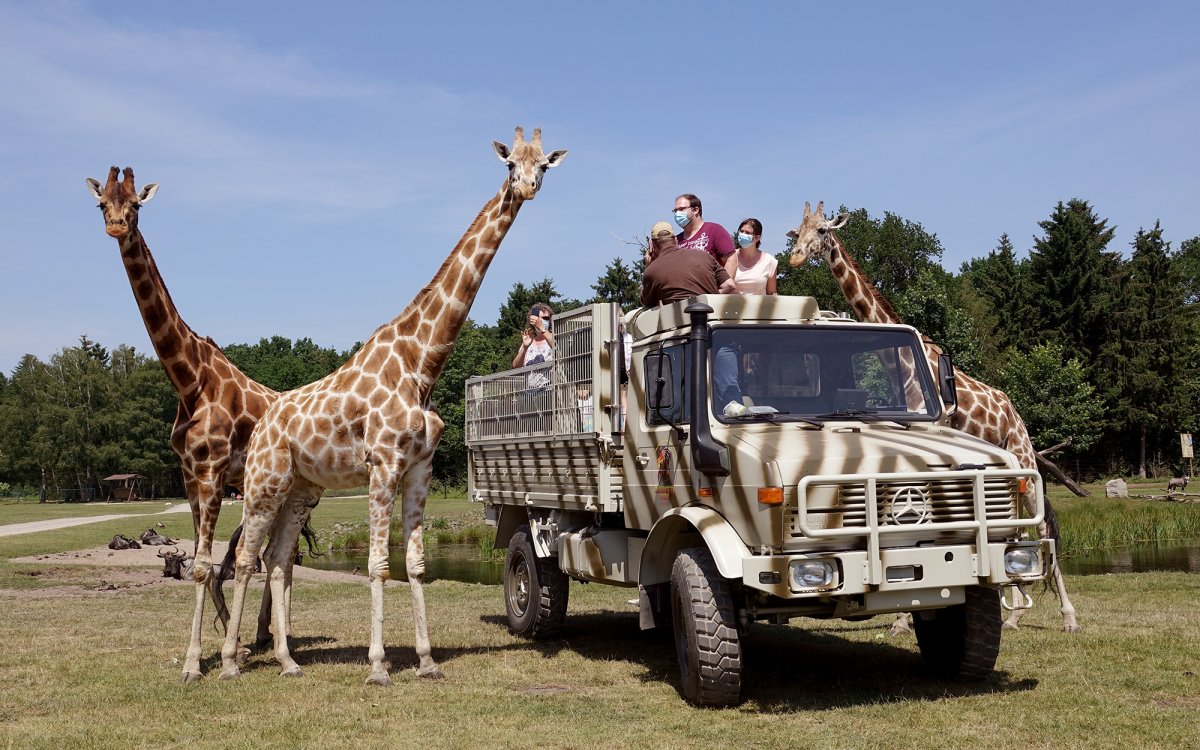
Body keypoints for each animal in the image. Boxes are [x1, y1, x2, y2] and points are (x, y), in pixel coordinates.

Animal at [85, 168, 297, 676]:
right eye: (101, 204)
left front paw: (199, 662)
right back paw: (264, 637)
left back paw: (277, 639)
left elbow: (202, 565)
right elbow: (207, 565)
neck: (189, 380)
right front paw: (220, 651)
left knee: (282, 558)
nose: (117, 227)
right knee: (273, 557)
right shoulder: (187, 474)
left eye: (135, 205)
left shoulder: (213, 470)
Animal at [220, 126, 566, 681]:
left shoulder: (420, 466)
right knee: (247, 559)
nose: (528, 187)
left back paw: (288, 661)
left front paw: (426, 660)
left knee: (276, 560)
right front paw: (379, 665)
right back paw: (231, 661)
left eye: (545, 165)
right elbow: (379, 564)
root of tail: (266, 420)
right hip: (263, 482)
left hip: (301, 488)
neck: (420, 364)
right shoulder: (383, 464)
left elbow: (417, 564)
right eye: (511, 163)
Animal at [782, 200, 1084, 633]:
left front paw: (903, 617)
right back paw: (1013, 615)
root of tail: (1015, 413)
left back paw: (1068, 617)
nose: (794, 256)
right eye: (798, 230)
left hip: (1023, 457)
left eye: (823, 230)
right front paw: (902, 616)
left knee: (1040, 525)